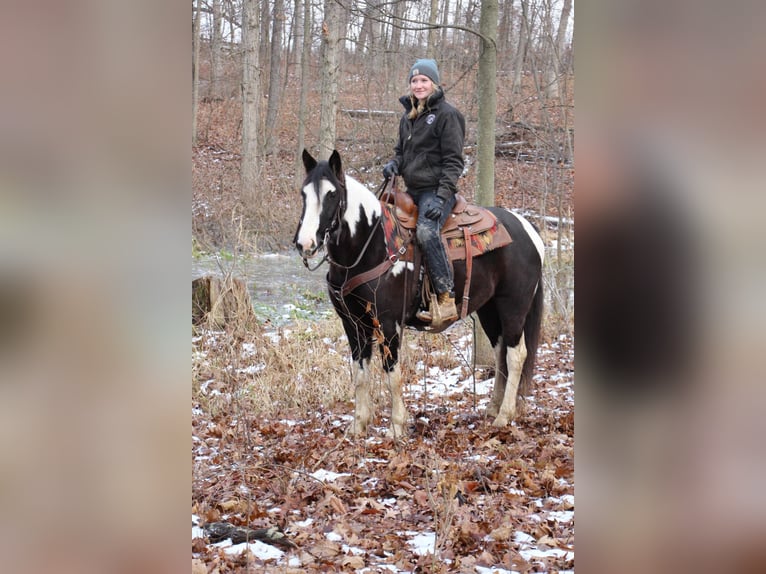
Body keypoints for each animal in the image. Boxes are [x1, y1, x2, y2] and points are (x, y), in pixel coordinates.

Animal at [294, 150, 544, 440]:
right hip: (489, 310)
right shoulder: (353, 323)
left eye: (332, 194)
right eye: (304, 193)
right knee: (500, 352)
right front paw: (358, 425)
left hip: (513, 306)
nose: (305, 243)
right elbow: (360, 373)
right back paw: (492, 409)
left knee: (515, 356)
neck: (373, 244)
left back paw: (504, 416)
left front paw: (396, 427)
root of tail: (527, 227)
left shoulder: (388, 323)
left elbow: (392, 374)